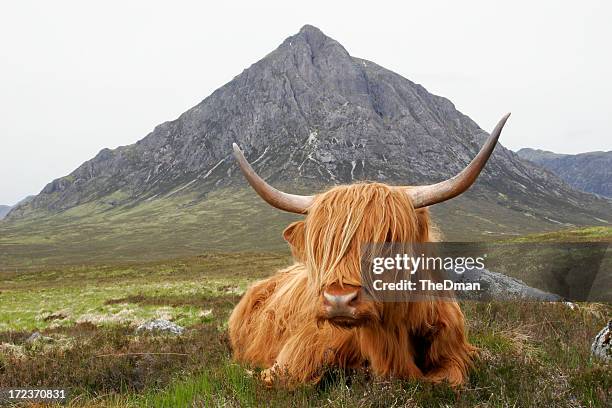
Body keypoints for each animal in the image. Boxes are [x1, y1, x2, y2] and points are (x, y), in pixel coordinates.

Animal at [227, 113, 510, 388]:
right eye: (321, 245)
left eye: (388, 239)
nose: (338, 300)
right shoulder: (297, 352)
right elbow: (287, 378)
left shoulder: (455, 351)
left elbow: (450, 380)